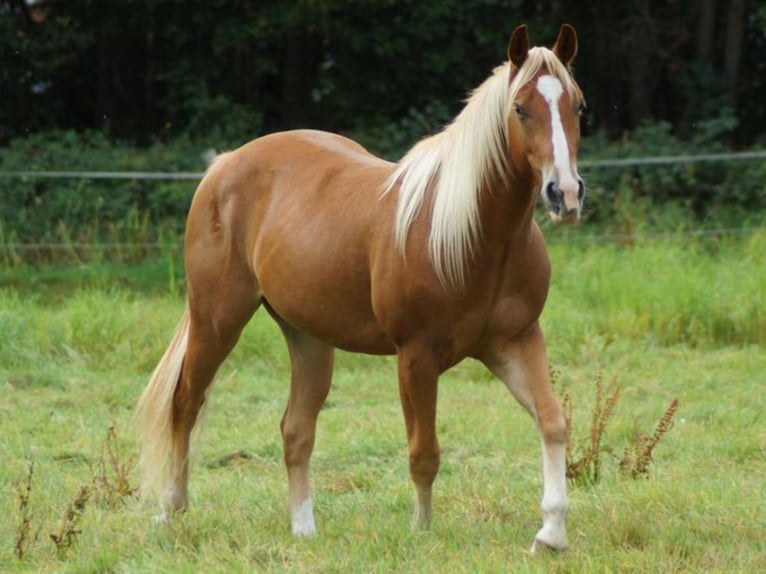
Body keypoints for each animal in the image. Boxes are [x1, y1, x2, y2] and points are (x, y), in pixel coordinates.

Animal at [138, 23, 586, 553]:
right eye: (519, 108)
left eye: (578, 106)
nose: (565, 194)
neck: (469, 232)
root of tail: (223, 166)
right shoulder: (416, 355)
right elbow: (424, 452)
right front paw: (421, 531)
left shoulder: (514, 342)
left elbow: (552, 421)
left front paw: (551, 532)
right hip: (216, 321)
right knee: (185, 403)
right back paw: (172, 510)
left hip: (308, 338)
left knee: (296, 430)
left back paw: (303, 529)